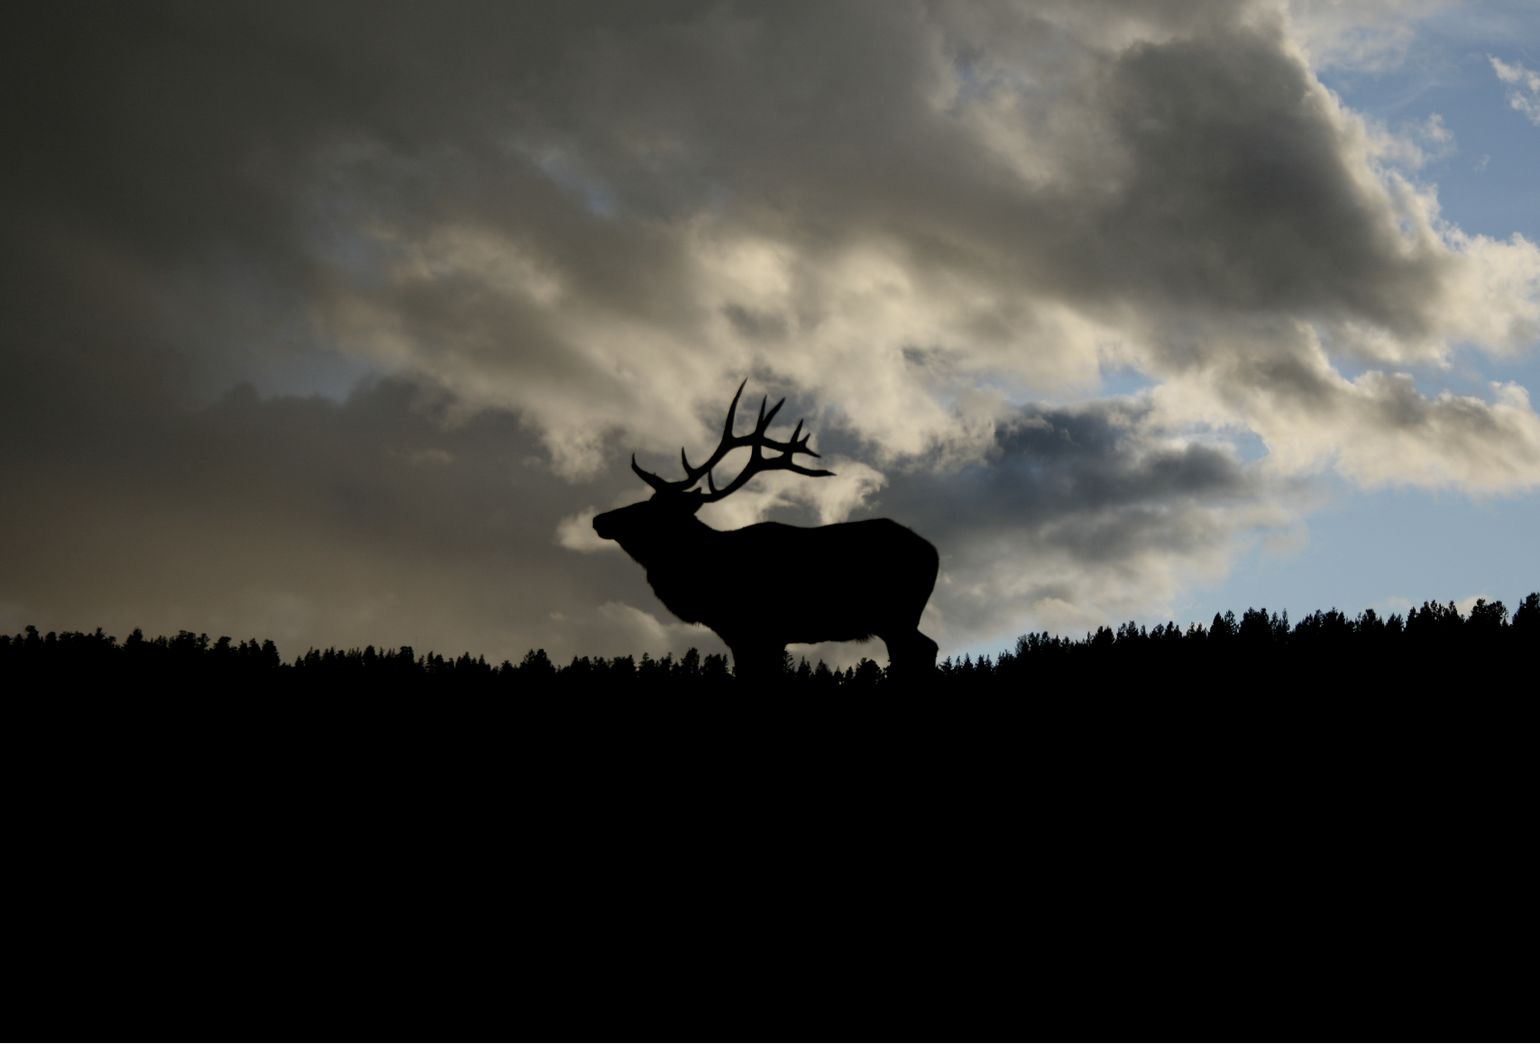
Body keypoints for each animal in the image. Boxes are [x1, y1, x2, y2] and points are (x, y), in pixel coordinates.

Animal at [592, 380, 940, 682]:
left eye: (651, 509)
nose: (600, 520)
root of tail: (933, 552)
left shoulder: (757, 629)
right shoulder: (753, 636)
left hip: (897, 614)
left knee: (922, 650)